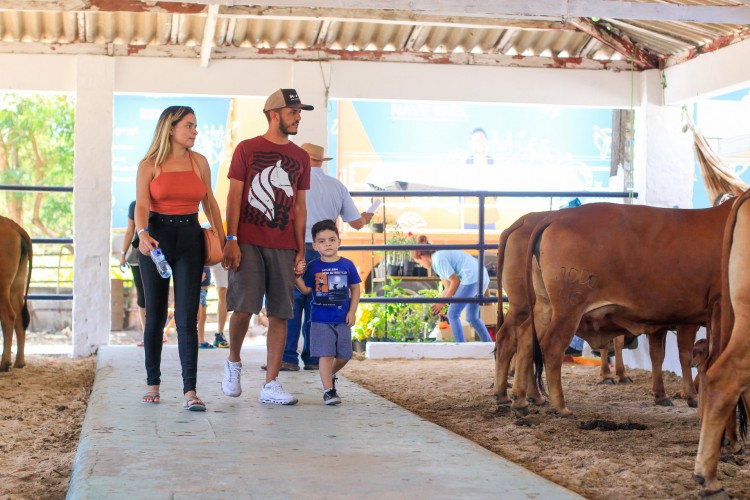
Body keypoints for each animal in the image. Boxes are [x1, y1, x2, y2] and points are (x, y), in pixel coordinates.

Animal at [524, 201, 732, 416]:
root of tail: (557, 216)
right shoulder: (692, 319)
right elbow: (686, 355)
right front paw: (692, 396)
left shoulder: (660, 322)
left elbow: (658, 355)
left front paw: (661, 395)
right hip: (569, 308)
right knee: (552, 347)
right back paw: (559, 405)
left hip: (545, 306)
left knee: (526, 343)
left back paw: (528, 398)